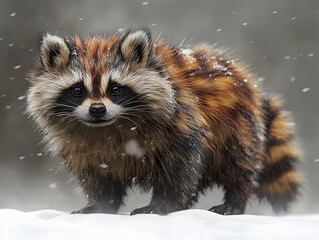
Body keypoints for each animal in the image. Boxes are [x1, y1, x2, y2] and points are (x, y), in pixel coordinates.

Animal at [26, 28, 302, 216]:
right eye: (77, 90)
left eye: (115, 89)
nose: (97, 110)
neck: (108, 126)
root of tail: (246, 80)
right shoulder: (81, 146)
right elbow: (96, 174)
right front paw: (100, 204)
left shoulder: (181, 124)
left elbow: (179, 170)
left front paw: (161, 205)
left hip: (237, 126)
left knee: (237, 165)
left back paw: (235, 200)